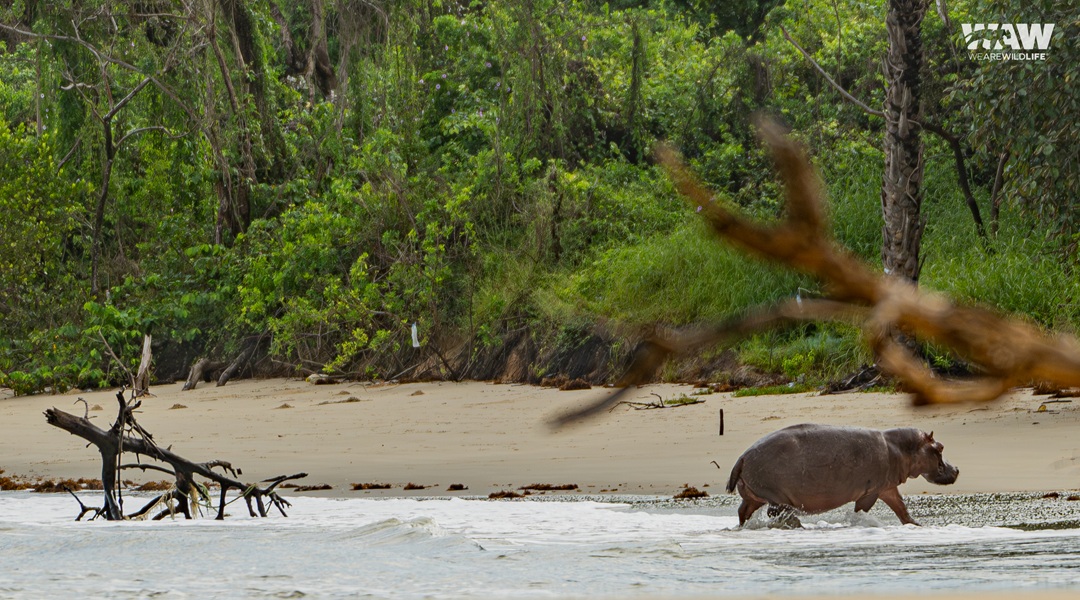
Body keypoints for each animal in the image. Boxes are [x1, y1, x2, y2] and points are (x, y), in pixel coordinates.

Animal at [726, 423, 959, 526]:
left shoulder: (887, 487)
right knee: (778, 513)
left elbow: (902, 509)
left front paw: (917, 525)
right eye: (940, 447)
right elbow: (862, 510)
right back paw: (799, 526)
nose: (956, 469)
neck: (903, 448)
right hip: (775, 495)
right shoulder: (872, 491)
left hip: (753, 495)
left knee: (743, 511)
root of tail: (742, 457)